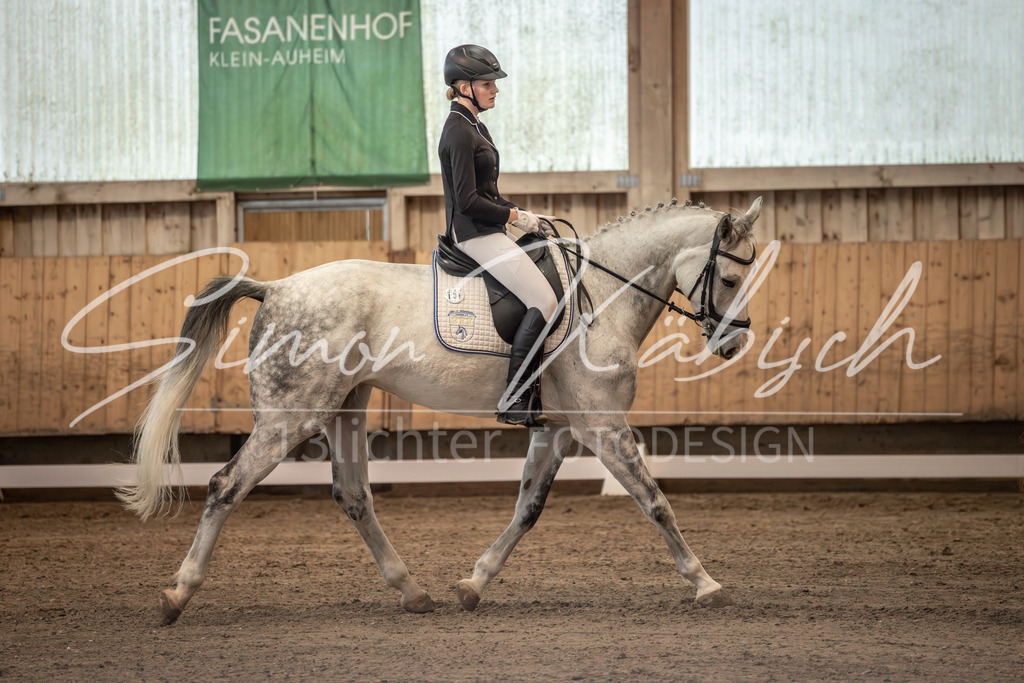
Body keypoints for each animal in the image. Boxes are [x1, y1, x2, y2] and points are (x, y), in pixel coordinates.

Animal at [117, 196, 765, 624]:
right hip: (289, 417)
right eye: (732, 277)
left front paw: (473, 583)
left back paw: (412, 592)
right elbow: (655, 501)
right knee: (226, 485)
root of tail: (275, 288)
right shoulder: (603, 425)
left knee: (353, 496)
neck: (600, 296)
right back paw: (177, 595)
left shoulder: (558, 429)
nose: (733, 344)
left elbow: (528, 508)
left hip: (347, 407)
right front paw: (706, 583)